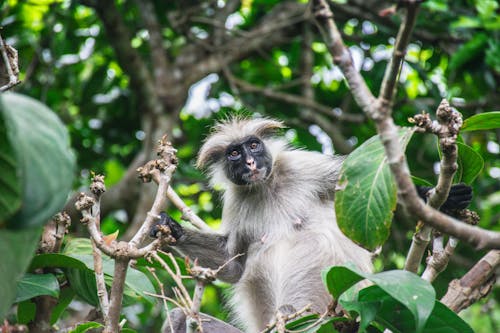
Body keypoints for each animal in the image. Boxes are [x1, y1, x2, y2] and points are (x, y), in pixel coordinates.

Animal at [155, 116, 472, 330]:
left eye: (254, 146)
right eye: (234, 153)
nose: (250, 163)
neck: (265, 187)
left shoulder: (303, 166)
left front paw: (440, 198)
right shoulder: (237, 199)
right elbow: (232, 266)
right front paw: (171, 229)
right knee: (180, 316)